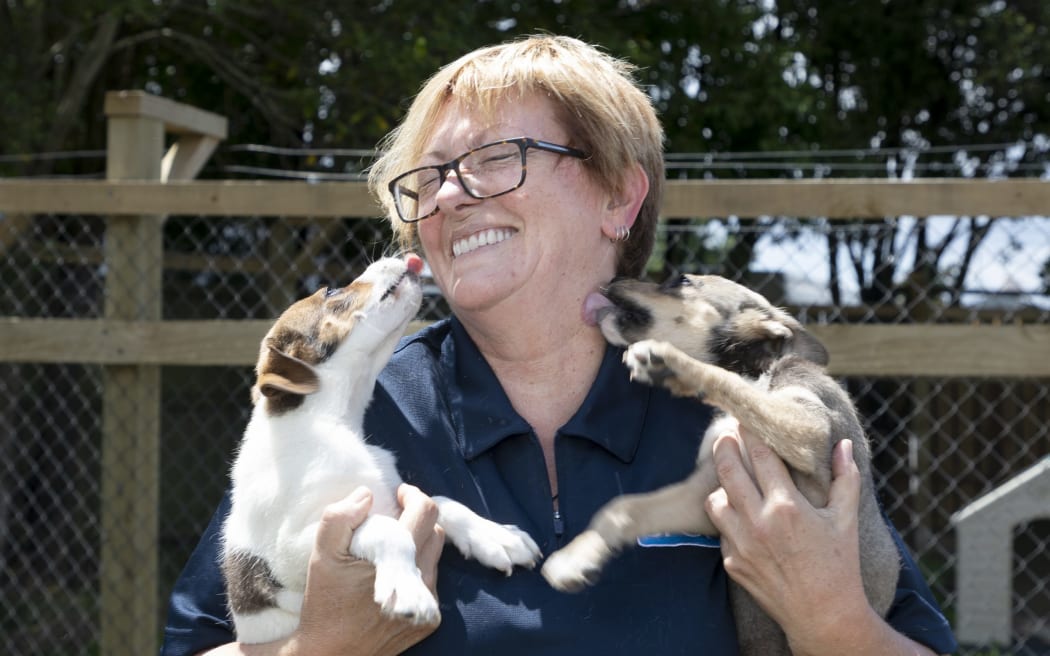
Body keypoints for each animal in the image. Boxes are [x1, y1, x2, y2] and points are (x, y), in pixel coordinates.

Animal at [219, 252, 541, 642]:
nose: (408, 257)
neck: (335, 425)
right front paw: (408, 590)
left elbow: (441, 501)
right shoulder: (292, 552)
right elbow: (386, 528)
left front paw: (496, 536)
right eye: (331, 291)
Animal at [546, 272, 898, 654]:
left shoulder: (813, 434)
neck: (757, 374)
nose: (613, 279)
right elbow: (623, 508)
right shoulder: (705, 497)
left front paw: (676, 366)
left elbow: (730, 383)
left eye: (681, 280)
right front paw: (575, 559)